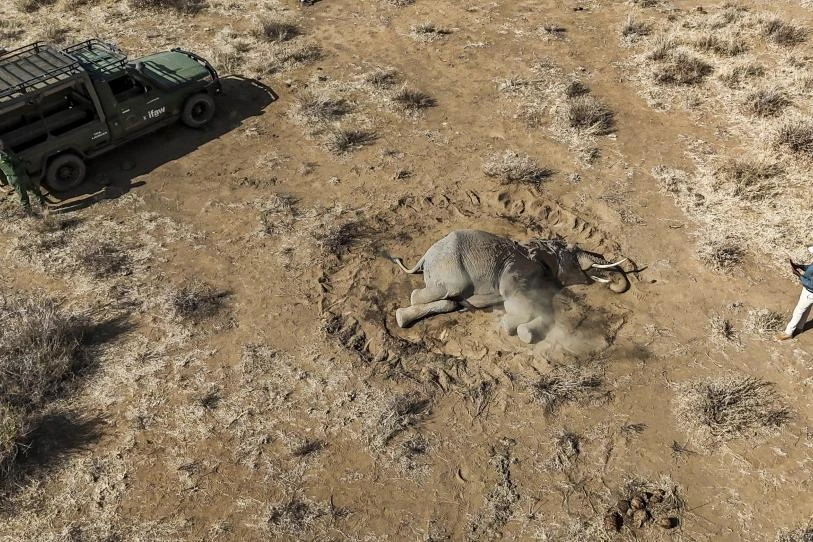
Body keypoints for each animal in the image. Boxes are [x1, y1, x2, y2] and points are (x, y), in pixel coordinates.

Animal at [389, 230, 629, 344]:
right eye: (572, 250)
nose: (612, 282)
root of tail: (424, 257)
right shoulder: (515, 270)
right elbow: (514, 299)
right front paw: (510, 326)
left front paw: (523, 332)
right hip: (450, 266)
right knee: (442, 292)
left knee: (450, 303)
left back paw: (402, 318)